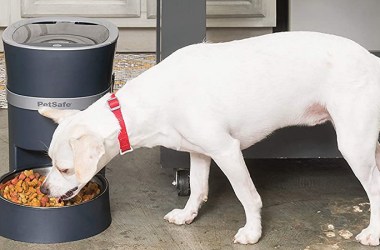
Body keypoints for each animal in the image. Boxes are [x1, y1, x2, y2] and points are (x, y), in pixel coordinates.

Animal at [38, 31, 380, 246]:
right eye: (49, 162)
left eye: (65, 169)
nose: (43, 189)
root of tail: (372, 60)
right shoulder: (200, 153)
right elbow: (198, 189)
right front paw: (188, 215)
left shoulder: (226, 151)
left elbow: (248, 196)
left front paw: (252, 233)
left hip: (354, 146)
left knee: (375, 189)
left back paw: (373, 233)